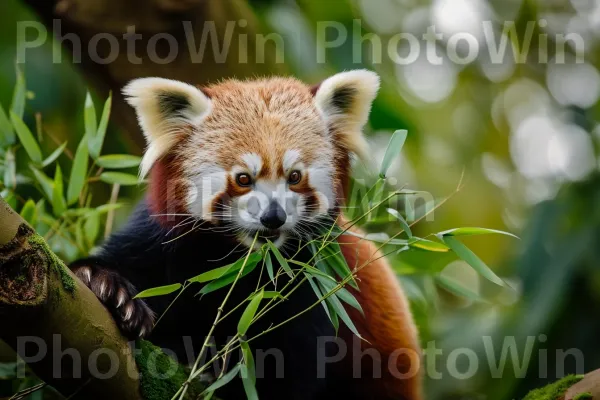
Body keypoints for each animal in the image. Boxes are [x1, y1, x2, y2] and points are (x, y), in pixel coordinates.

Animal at [70, 71, 422, 400]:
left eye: (294, 177)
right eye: (243, 179)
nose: (273, 216)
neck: (237, 259)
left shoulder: (316, 281)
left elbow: (290, 367)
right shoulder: (162, 241)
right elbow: (129, 263)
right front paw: (106, 287)